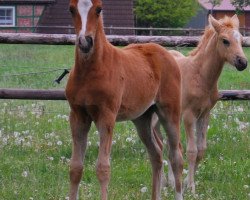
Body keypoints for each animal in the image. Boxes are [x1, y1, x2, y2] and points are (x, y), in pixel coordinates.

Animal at [65, 0, 184, 200]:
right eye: (71, 9)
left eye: (99, 9)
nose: (85, 42)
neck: (91, 71)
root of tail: (167, 53)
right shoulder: (78, 116)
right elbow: (75, 168)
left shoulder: (107, 116)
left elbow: (103, 168)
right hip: (142, 119)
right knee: (156, 155)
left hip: (170, 113)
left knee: (176, 157)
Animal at [163, 14, 247, 193]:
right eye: (225, 41)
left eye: (241, 39)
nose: (242, 63)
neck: (200, 75)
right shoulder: (189, 116)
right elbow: (192, 151)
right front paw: (191, 187)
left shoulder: (205, 114)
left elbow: (201, 150)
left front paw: (186, 182)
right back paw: (169, 182)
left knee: (170, 144)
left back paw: (172, 182)